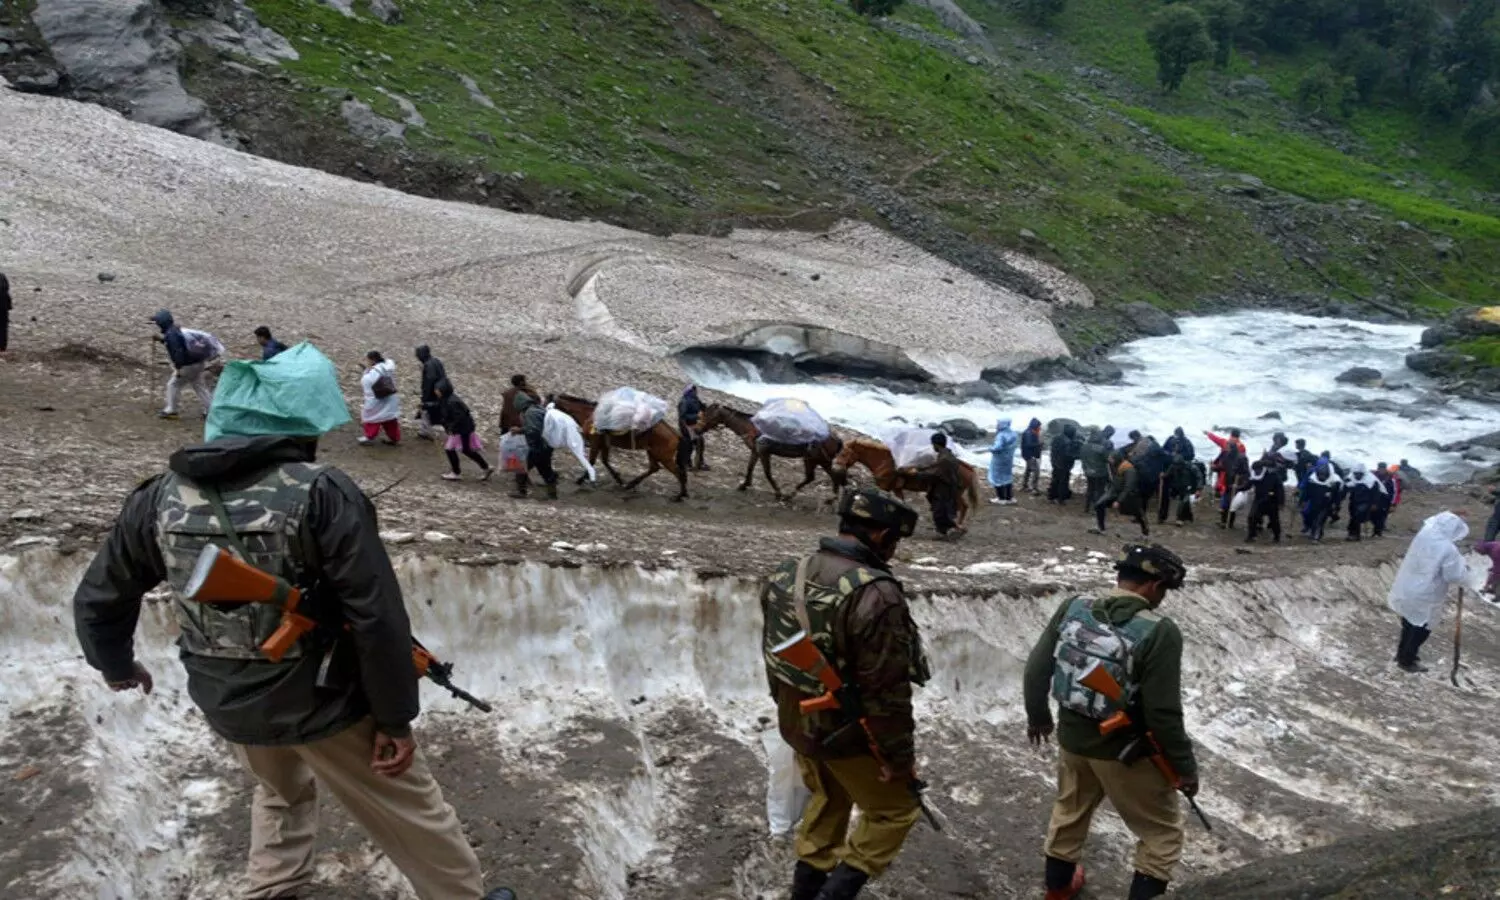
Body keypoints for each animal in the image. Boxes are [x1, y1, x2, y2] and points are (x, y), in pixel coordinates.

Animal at [555, 393, 687, 504]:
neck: (589, 415)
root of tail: (675, 434)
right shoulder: (604, 444)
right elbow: (605, 461)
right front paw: (619, 480)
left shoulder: (595, 443)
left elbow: (592, 461)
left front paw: (581, 479)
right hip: (652, 452)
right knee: (654, 468)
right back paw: (631, 485)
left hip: (664, 457)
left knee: (678, 473)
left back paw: (679, 496)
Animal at [693, 405, 840, 504]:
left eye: (710, 415)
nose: (696, 429)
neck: (752, 428)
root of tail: (836, 439)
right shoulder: (755, 451)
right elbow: (750, 467)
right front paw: (744, 485)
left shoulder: (764, 452)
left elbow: (767, 472)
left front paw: (778, 493)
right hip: (817, 460)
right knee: (819, 477)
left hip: (815, 459)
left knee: (822, 476)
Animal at [834, 438, 984, 531]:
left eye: (845, 453)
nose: (837, 468)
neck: (886, 463)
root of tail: (968, 467)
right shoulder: (897, 489)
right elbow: (901, 503)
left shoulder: (884, 488)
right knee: (963, 507)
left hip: (955, 493)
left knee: (962, 507)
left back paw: (956, 526)